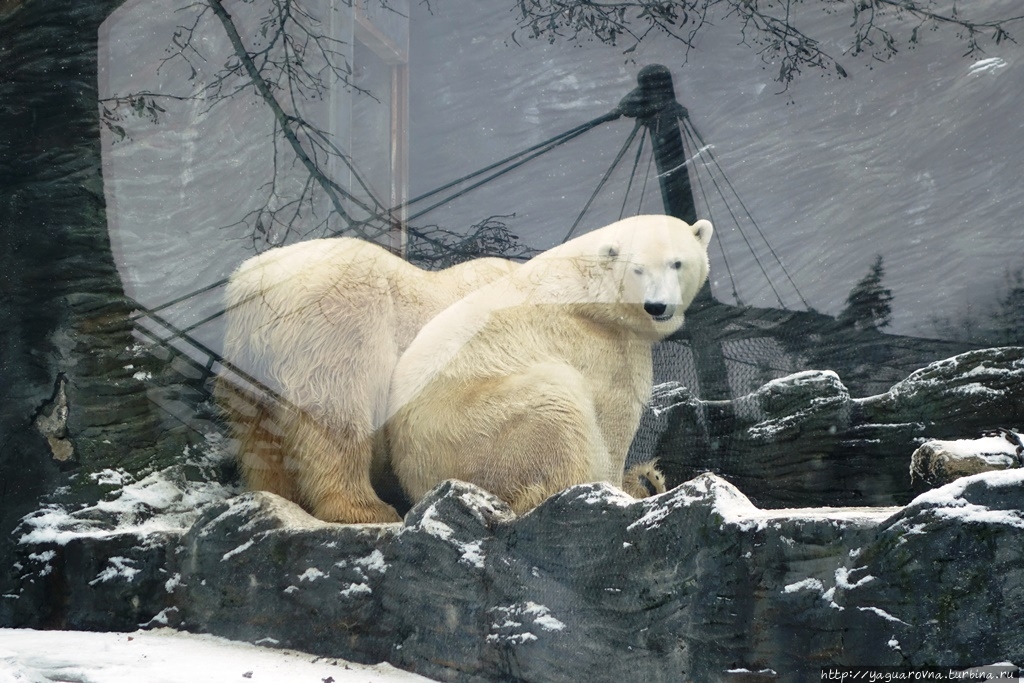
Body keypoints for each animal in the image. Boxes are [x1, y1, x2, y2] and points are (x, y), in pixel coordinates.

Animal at [217, 237, 520, 528]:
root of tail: (257, 288)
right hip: (340, 321)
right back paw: (366, 509)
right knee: (338, 416)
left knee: (260, 436)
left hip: (247, 366)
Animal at [385, 216, 712, 516]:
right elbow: (614, 417)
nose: (657, 306)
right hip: (476, 424)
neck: (593, 287)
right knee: (555, 404)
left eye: (676, 263)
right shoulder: (600, 342)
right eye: (637, 269)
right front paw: (621, 487)